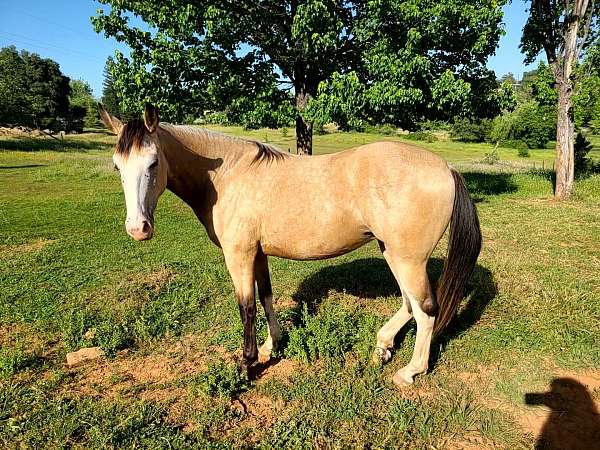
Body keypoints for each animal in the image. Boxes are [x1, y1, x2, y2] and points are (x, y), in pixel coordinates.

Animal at [99, 103, 482, 386]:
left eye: (153, 162)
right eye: (117, 166)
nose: (137, 228)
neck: (227, 177)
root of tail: (446, 168)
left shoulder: (239, 255)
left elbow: (247, 307)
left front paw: (247, 364)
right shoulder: (258, 254)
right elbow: (266, 297)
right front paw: (272, 345)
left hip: (408, 258)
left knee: (426, 309)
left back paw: (410, 371)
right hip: (393, 251)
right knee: (409, 303)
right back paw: (382, 346)